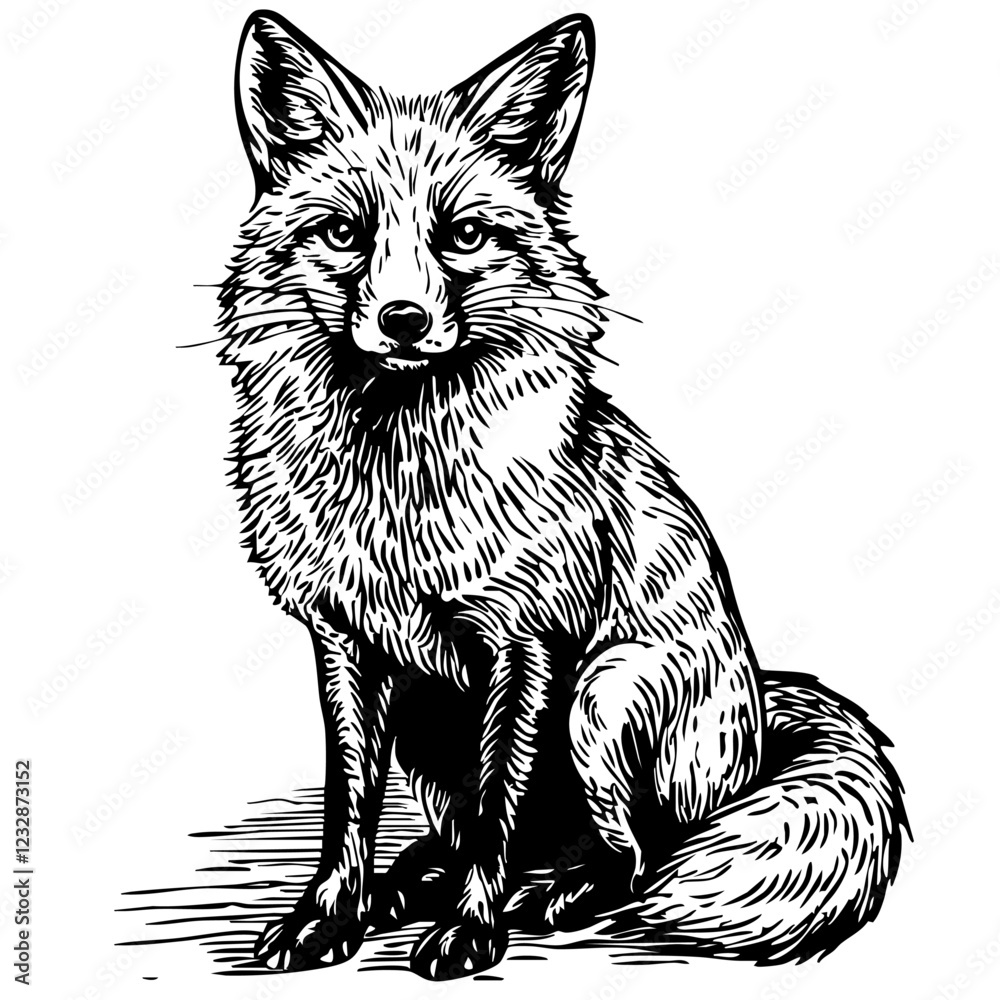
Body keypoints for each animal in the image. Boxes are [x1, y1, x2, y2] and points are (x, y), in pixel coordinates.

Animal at [217, 9, 908, 981]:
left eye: (464, 236)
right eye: (346, 233)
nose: (402, 320)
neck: (402, 485)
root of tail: (761, 726)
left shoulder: (528, 646)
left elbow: (499, 802)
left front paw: (472, 929)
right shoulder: (346, 643)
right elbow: (350, 803)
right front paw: (329, 915)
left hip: (600, 697)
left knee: (635, 854)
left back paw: (559, 894)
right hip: (433, 721)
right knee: (489, 833)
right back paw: (418, 878)